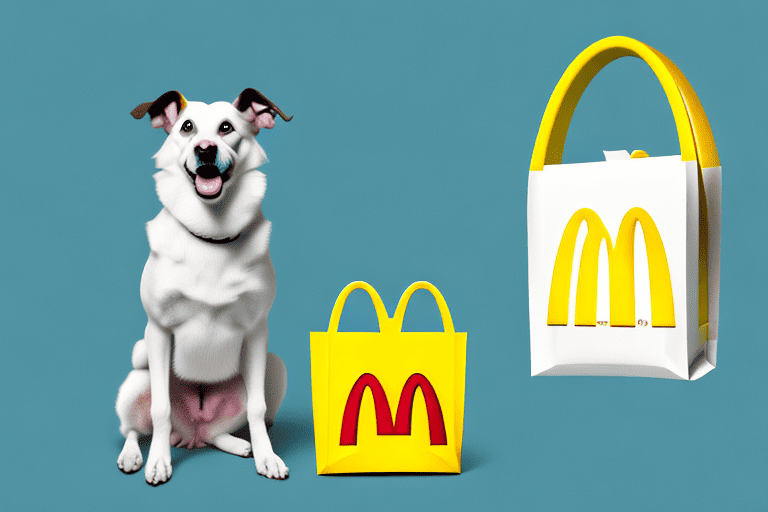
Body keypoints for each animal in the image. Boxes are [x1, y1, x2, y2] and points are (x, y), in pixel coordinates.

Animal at [115, 88, 292, 484]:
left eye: (226, 128)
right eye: (187, 127)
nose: (206, 149)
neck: (211, 236)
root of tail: (191, 433)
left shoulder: (257, 332)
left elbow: (257, 409)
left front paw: (266, 457)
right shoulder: (158, 331)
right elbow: (160, 411)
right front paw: (158, 461)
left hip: (274, 366)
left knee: (221, 431)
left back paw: (239, 444)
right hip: (136, 379)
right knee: (134, 428)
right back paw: (134, 455)